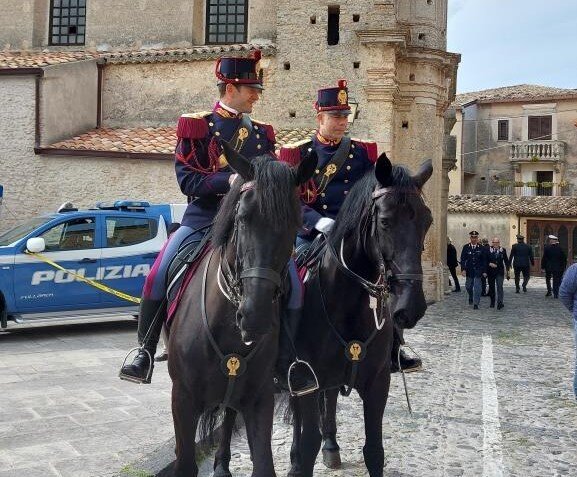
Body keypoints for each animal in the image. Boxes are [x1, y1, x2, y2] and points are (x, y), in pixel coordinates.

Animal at [166, 142, 318, 476]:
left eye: (294, 223)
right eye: (243, 218)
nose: (255, 316)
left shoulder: (260, 399)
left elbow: (263, 465)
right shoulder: (183, 400)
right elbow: (185, 463)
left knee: (230, 415)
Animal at [288, 153, 432, 476]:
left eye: (427, 221)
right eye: (385, 221)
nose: (411, 307)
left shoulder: (378, 383)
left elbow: (374, 452)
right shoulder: (307, 380)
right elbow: (307, 443)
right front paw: (298, 459)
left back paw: (331, 446)